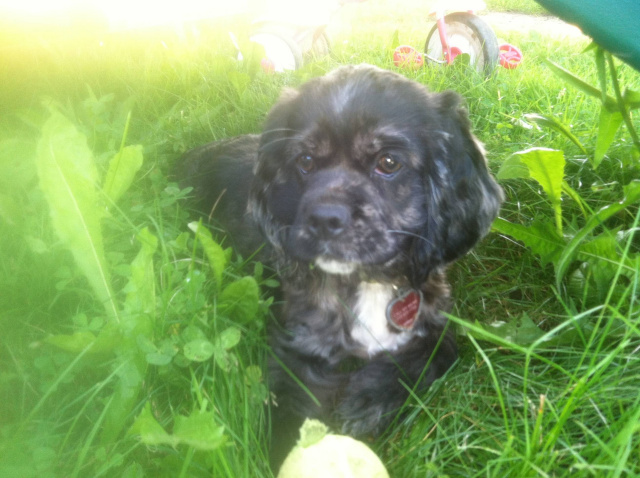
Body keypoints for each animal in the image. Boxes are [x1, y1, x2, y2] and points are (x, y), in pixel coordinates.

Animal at [178, 64, 503, 467]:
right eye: (304, 162)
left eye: (388, 163)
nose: (323, 219)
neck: (367, 282)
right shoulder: (297, 341)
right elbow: (293, 406)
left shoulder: (434, 316)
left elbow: (438, 353)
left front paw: (367, 398)